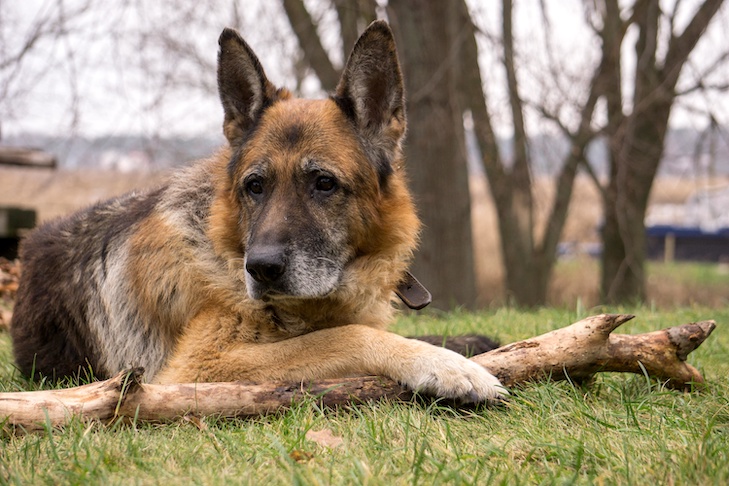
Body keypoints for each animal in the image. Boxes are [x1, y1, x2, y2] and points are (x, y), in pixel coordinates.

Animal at [8, 21, 504, 402]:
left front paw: (463, 346)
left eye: (324, 183)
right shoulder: (199, 366)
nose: (261, 268)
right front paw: (444, 364)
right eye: (255, 186)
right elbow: (345, 335)